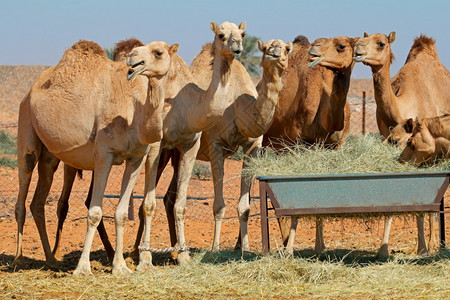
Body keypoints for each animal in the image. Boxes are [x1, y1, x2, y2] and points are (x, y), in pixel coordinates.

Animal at [15, 40, 174, 276]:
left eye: (158, 52)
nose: (134, 60)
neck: (133, 112)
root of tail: (29, 93)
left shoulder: (136, 157)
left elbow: (122, 213)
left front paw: (121, 266)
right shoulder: (104, 155)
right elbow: (95, 212)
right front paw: (83, 268)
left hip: (50, 156)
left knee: (38, 201)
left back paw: (51, 259)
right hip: (25, 124)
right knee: (24, 186)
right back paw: (18, 260)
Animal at [354, 33, 448, 258]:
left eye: (381, 43)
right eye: (362, 38)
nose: (357, 47)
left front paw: (425, 247)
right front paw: (383, 249)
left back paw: (433, 243)